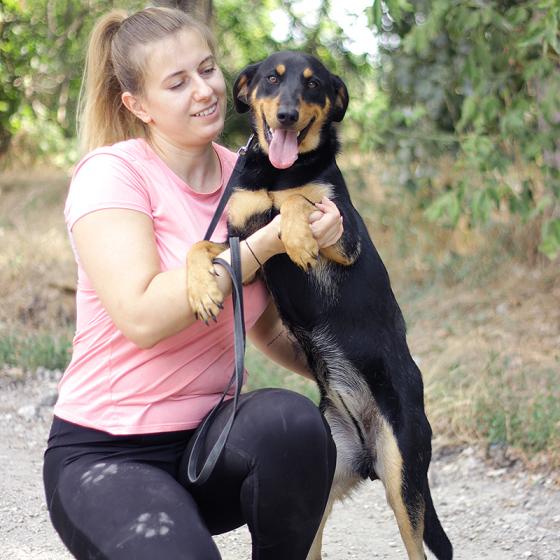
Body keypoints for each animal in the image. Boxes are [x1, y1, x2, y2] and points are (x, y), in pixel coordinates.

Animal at [187, 51, 453, 560]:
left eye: (312, 85)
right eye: (272, 79)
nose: (287, 115)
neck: (279, 171)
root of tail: (367, 454)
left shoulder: (342, 237)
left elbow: (300, 199)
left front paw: (296, 236)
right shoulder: (242, 249)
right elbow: (200, 246)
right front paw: (201, 291)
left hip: (404, 478)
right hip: (323, 482)